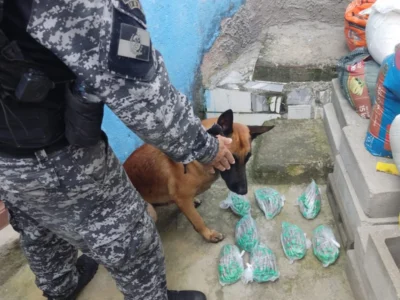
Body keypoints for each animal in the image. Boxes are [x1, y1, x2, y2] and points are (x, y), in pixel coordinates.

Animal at [125, 110, 274, 244]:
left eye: (247, 158)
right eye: (231, 159)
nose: (243, 191)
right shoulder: (182, 198)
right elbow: (197, 220)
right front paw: (209, 234)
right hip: (151, 212)